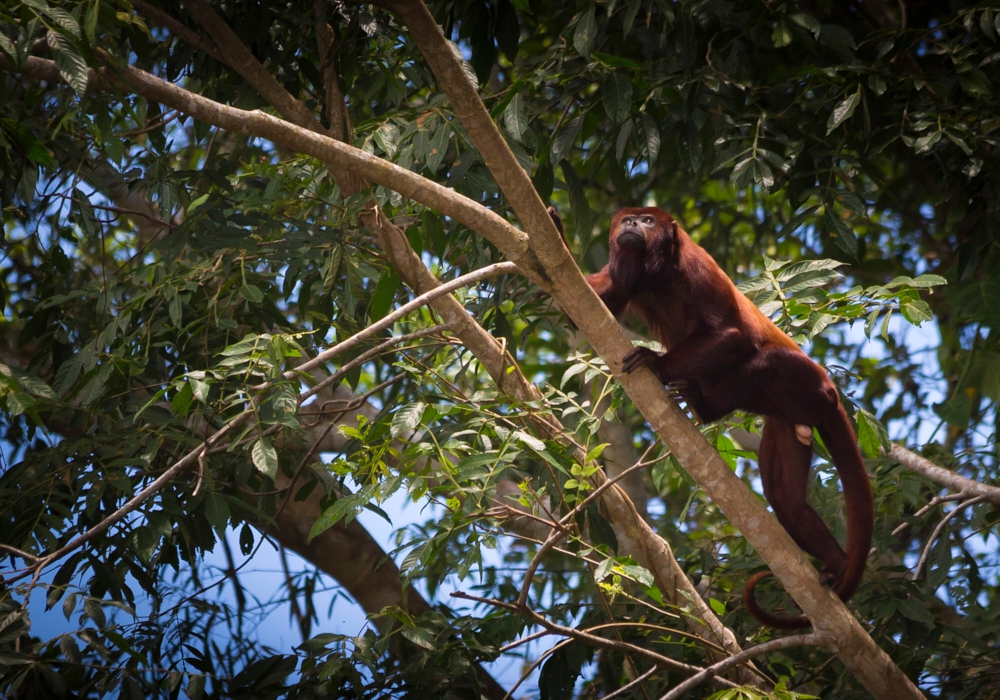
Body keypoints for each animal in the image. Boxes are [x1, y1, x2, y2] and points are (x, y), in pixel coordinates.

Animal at [584, 208, 872, 628]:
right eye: (627, 219)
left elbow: (731, 333)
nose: (632, 225)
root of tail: (831, 396)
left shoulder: (699, 267)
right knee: (785, 500)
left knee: (770, 360)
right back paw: (836, 563)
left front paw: (656, 361)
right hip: (785, 424)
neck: (659, 270)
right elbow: (593, 300)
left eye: (648, 221)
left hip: (811, 387)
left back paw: (705, 406)